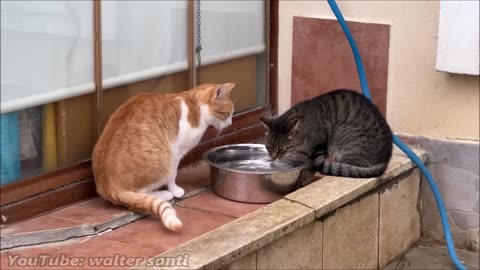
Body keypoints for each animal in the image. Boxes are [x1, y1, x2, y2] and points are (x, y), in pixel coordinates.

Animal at [91, 83, 234, 232]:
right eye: (227, 114)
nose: (230, 124)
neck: (194, 105)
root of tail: (108, 186)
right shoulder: (175, 153)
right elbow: (172, 176)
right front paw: (175, 190)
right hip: (161, 161)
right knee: (141, 193)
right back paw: (165, 194)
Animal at [260, 89, 392, 179]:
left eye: (281, 149)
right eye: (268, 147)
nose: (273, 158)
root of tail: (385, 159)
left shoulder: (320, 143)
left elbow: (312, 163)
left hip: (346, 140)